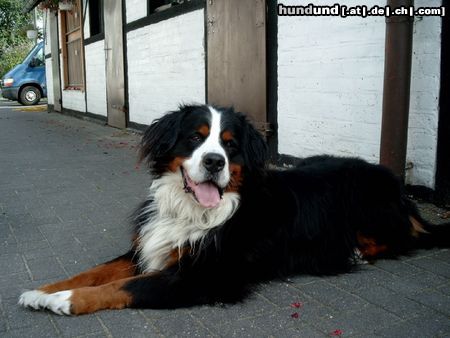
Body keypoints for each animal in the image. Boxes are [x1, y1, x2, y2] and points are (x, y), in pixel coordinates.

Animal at [18, 105, 450, 314]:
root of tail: (398, 186)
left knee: (406, 238)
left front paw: (64, 301)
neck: (195, 211)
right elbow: (96, 272)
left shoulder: (205, 275)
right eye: (195, 138)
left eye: (230, 144)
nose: (214, 162)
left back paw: (358, 252)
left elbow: (120, 287)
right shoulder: (150, 248)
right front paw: (43, 291)